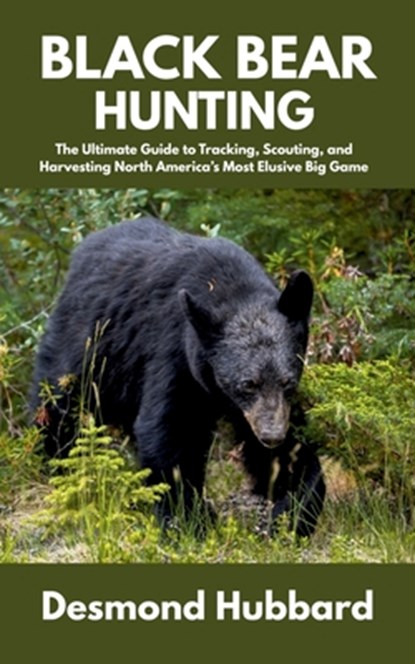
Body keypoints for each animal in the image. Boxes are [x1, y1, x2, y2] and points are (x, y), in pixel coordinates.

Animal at [32, 217, 325, 537]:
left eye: (288, 382)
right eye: (248, 384)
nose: (271, 435)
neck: (230, 288)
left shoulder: (260, 408)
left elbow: (287, 455)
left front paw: (290, 512)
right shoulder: (175, 354)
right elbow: (171, 433)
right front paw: (188, 520)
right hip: (88, 346)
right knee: (57, 404)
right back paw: (56, 463)